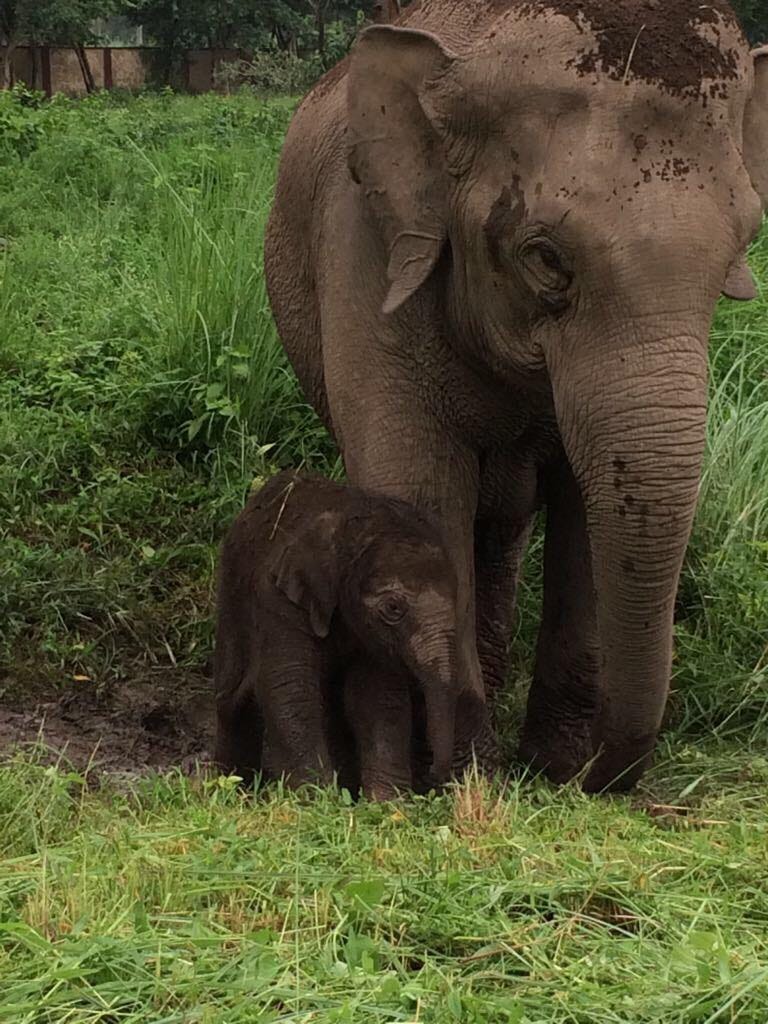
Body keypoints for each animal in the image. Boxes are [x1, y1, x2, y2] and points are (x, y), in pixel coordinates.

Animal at [213, 471, 461, 799]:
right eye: (393, 608)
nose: (435, 777)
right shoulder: (276, 599)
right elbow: (289, 686)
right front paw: (316, 798)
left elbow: (375, 695)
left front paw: (386, 802)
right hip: (231, 597)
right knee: (233, 699)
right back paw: (231, 788)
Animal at [264, 0, 768, 792]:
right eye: (545, 259)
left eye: (740, 246)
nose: (597, 776)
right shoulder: (369, 255)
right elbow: (421, 493)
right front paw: (461, 776)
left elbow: (586, 506)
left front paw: (549, 766)